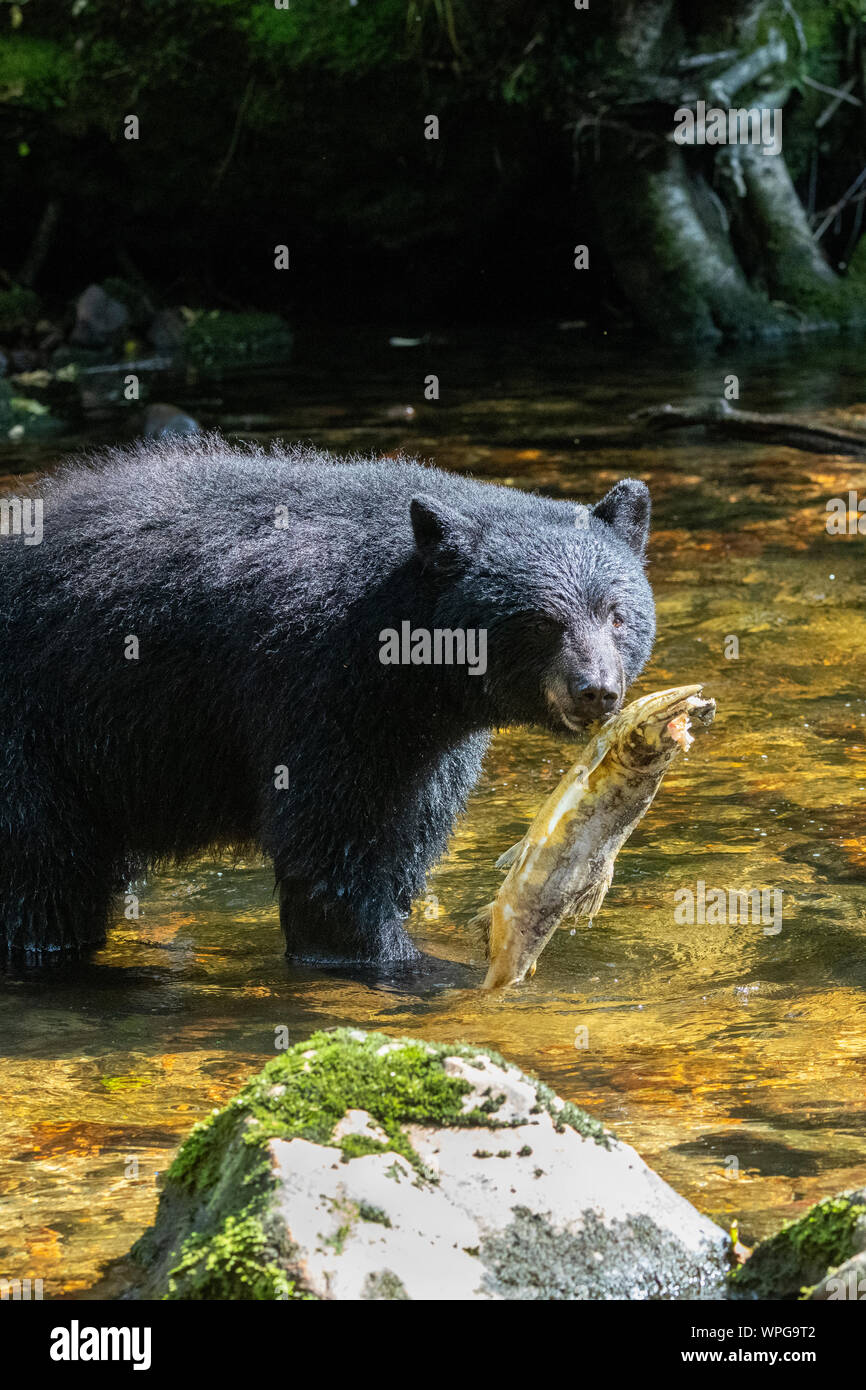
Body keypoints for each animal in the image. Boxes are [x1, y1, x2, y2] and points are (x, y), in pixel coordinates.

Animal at [0, 439, 656, 961]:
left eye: (617, 615)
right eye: (541, 622)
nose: (597, 689)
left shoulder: (427, 741)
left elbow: (407, 834)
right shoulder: (318, 686)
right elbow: (334, 844)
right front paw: (393, 960)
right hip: (37, 731)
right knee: (40, 866)